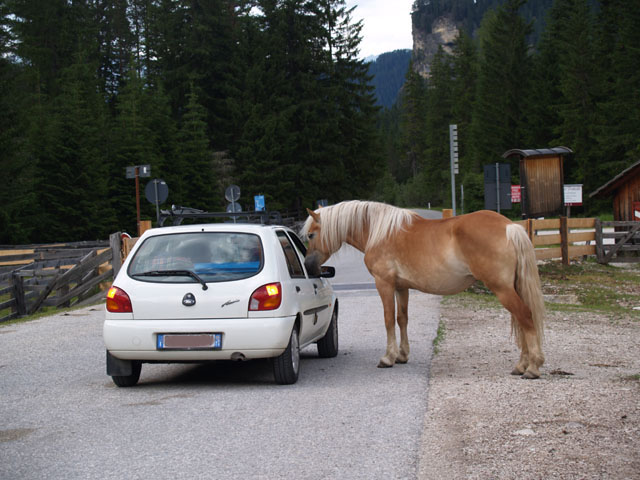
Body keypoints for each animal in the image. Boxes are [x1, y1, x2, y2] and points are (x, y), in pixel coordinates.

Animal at [302, 199, 544, 378]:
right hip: (513, 287)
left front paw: (388, 358)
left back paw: (533, 367)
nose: (309, 266)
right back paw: (521, 365)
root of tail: (509, 226)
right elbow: (402, 319)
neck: (378, 232)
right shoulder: (401, 287)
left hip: (502, 289)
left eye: (311, 234)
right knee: (522, 320)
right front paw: (402, 355)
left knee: (525, 316)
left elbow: (388, 318)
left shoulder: (384, 284)